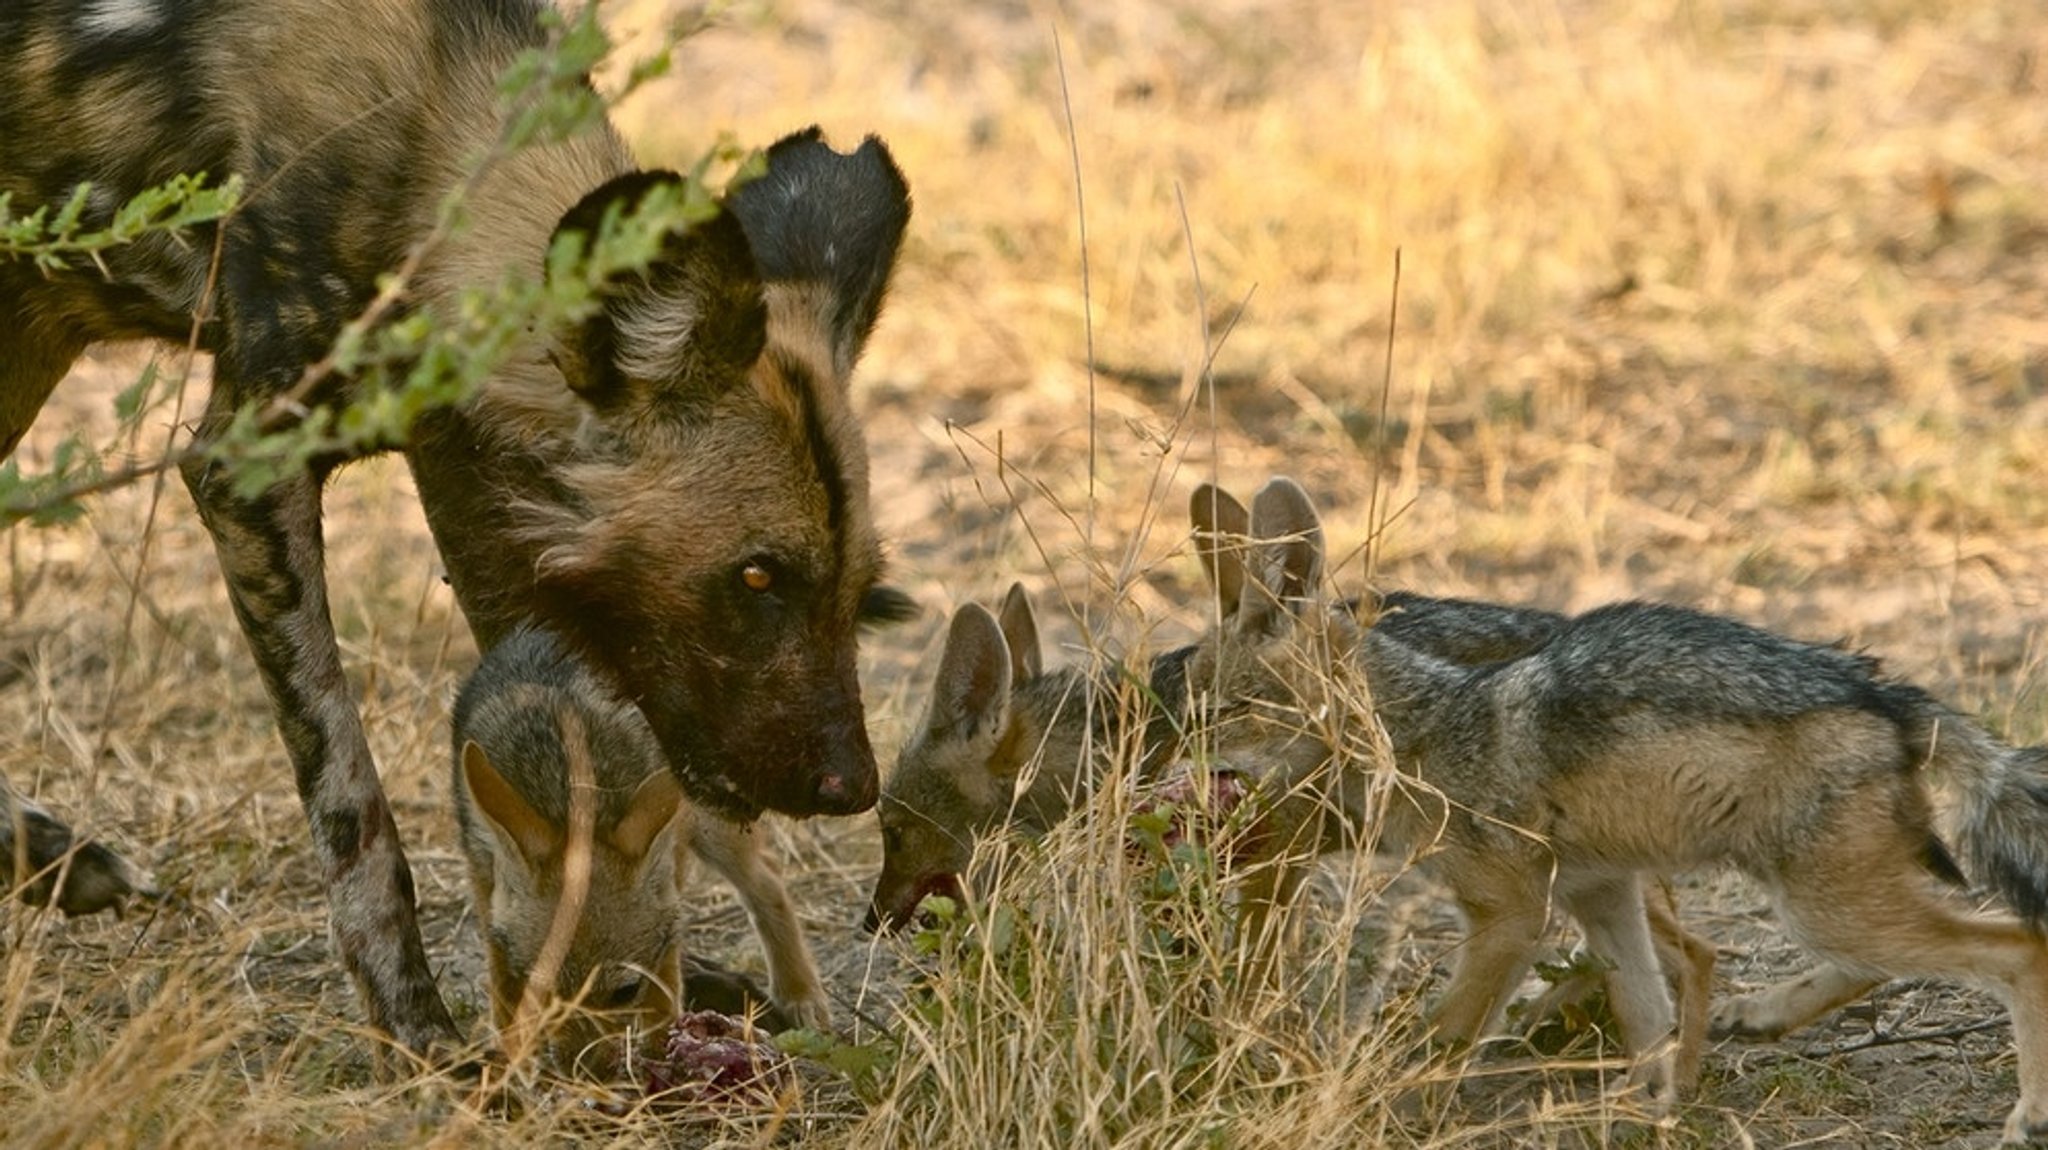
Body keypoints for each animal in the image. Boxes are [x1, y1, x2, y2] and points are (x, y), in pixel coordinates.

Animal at [452, 622, 827, 1072]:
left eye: (625, 992)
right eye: (546, 996)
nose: (587, 1071)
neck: (566, 772)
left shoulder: (669, 885)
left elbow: (664, 987)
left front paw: (664, 1055)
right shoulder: (484, 881)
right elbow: (502, 983)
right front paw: (512, 1058)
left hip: (710, 830)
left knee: (768, 882)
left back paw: (800, 991)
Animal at [1196, 474, 2048, 1137]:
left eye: (1225, 711)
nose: (1172, 774)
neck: (1423, 729)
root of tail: (1892, 696)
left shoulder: (1512, 919)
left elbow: (1441, 1039)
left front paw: (1381, 1112)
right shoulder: (1599, 893)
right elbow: (1645, 1019)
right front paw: (1653, 1110)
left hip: (1824, 905)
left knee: (2018, 947)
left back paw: (2026, 1116)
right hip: (1824, 901)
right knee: (1879, 959)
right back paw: (1761, 1016)